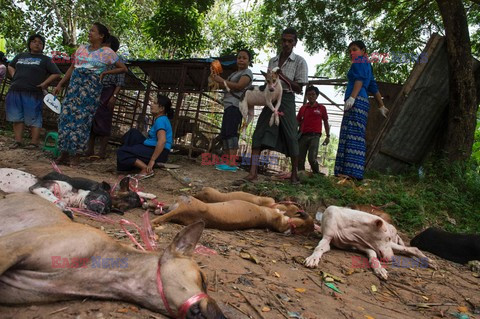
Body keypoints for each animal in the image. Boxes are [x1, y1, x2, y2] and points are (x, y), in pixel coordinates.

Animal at [0, 169, 142, 216]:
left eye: (106, 211)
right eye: (102, 198)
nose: (101, 210)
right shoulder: (38, 187)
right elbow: (57, 200)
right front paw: (65, 209)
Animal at [306, 208, 436, 280]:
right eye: (387, 238)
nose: (392, 259)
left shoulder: (365, 246)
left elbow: (374, 257)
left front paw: (380, 269)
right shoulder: (327, 239)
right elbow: (318, 248)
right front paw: (313, 258)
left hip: (395, 246)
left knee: (412, 249)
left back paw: (429, 261)